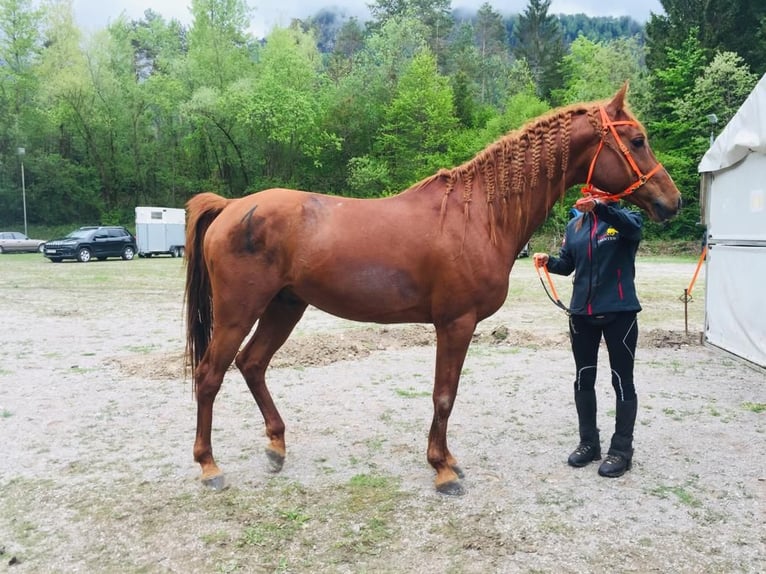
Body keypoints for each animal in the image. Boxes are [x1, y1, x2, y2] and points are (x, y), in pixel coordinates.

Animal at [184, 84, 681, 496]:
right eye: (638, 140)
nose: (671, 201)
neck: (479, 215)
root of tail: (232, 207)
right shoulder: (455, 324)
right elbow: (445, 395)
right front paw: (442, 469)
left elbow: (446, 395)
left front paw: (447, 460)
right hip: (239, 312)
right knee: (209, 375)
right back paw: (209, 467)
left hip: (285, 306)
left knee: (252, 364)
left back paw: (276, 448)